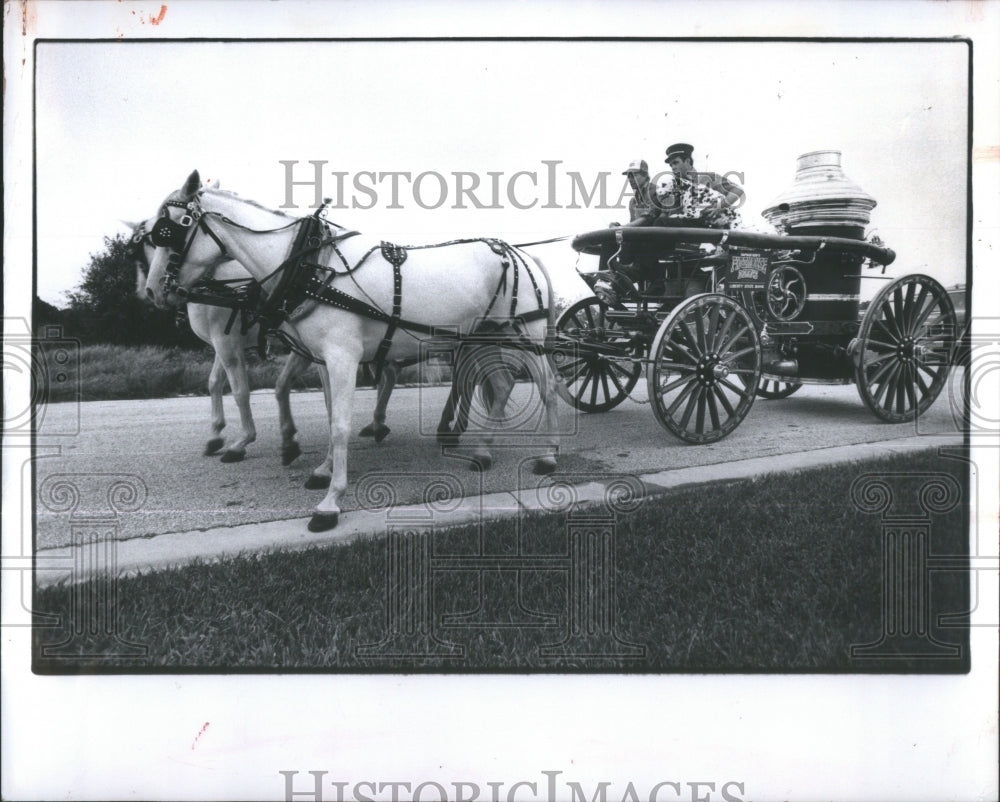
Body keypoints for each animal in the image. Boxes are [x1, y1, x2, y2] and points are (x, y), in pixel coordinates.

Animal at [144, 172, 584, 528]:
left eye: (169, 230)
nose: (151, 291)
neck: (311, 264)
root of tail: (523, 252)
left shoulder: (342, 357)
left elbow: (339, 424)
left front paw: (330, 502)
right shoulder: (322, 359)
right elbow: (328, 416)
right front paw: (322, 469)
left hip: (526, 334)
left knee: (546, 387)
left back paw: (549, 455)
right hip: (487, 337)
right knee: (503, 386)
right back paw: (483, 451)